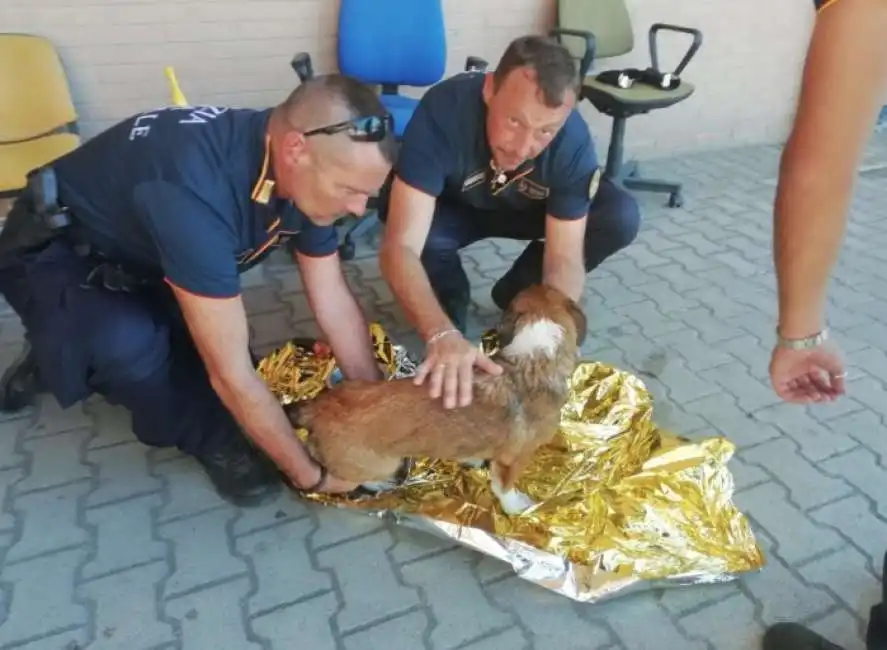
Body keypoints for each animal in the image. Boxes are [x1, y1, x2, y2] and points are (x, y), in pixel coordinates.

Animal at [288, 284, 588, 516]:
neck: (537, 357)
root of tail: (315, 407)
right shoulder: (513, 459)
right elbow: (504, 488)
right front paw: (515, 507)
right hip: (380, 463)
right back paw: (381, 484)